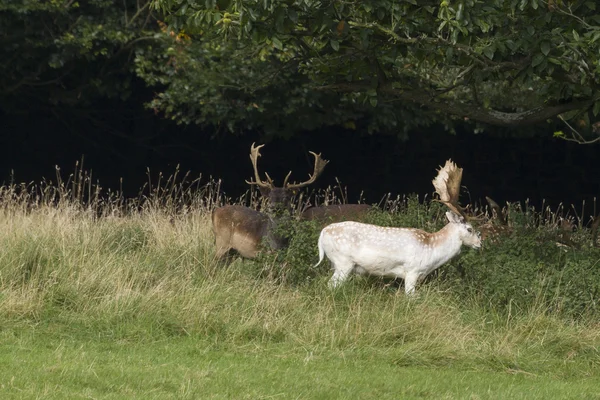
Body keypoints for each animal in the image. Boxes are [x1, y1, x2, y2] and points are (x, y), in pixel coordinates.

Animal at [312, 159, 480, 294]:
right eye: (470, 229)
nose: (479, 243)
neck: (432, 252)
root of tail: (322, 234)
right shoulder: (412, 271)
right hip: (343, 261)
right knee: (330, 285)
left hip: (336, 263)